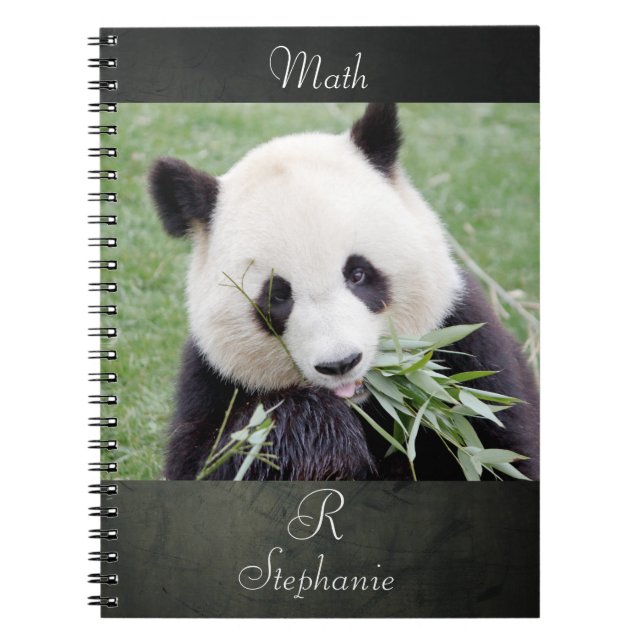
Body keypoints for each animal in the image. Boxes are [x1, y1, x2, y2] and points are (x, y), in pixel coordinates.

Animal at [149, 103, 539, 481]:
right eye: (277, 296)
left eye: (358, 274)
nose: (340, 364)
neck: (366, 404)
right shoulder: (213, 379)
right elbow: (211, 461)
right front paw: (318, 432)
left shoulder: (467, 347)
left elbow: (500, 453)